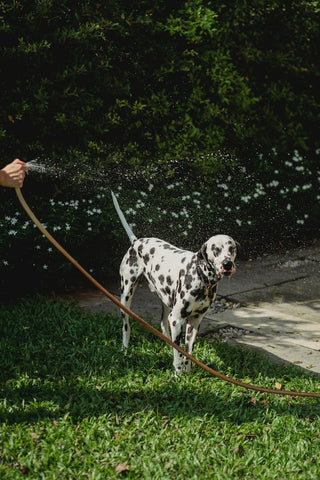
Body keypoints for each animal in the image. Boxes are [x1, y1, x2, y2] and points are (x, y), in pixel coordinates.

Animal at [111, 191, 236, 376]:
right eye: (215, 249)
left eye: (232, 248)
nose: (227, 264)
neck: (201, 278)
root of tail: (136, 242)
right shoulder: (177, 320)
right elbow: (179, 351)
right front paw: (178, 373)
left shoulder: (194, 322)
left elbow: (188, 352)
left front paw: (188, 372)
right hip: (126, 297)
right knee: (126, 326)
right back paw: (125, 348)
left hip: (166, 303)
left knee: (163, 325)